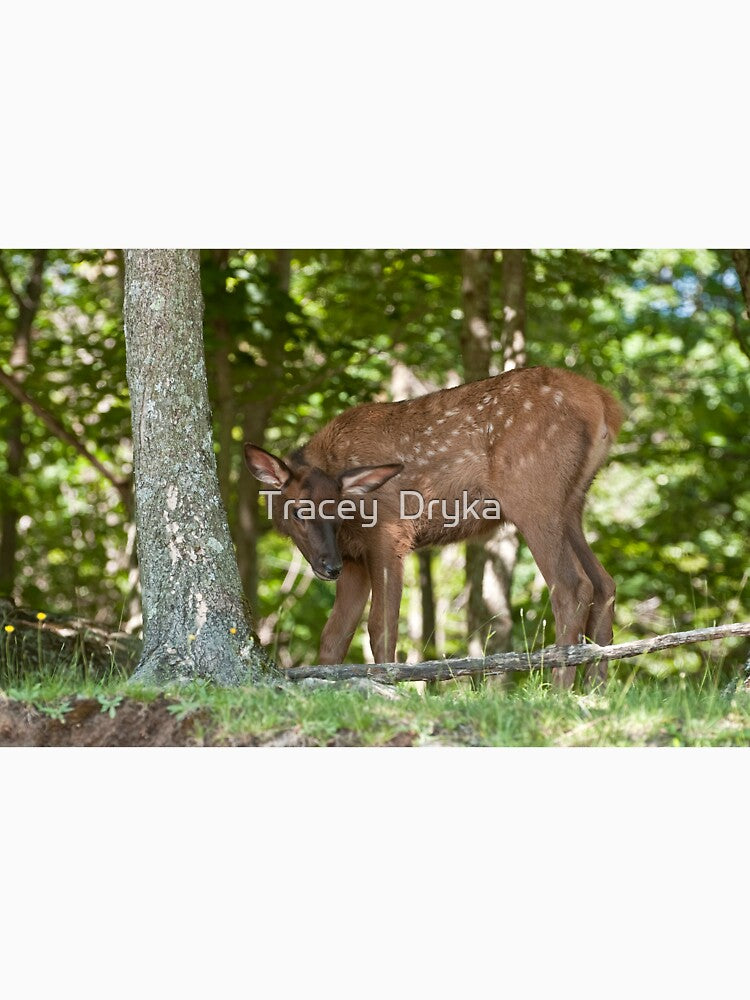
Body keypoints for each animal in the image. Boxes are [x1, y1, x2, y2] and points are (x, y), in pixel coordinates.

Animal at [244, 365, 623, 687]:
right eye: (297, 510)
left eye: (338, 510)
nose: (328, 567)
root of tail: (605, 403)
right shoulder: (353, 559)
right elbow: (334, 636)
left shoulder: (390, 532)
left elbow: (380, 625)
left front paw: (389, 684)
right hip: (571, 503)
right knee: (604, 583)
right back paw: (595, 690)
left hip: (531, 493)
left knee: (572, 585)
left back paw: (559, 690)